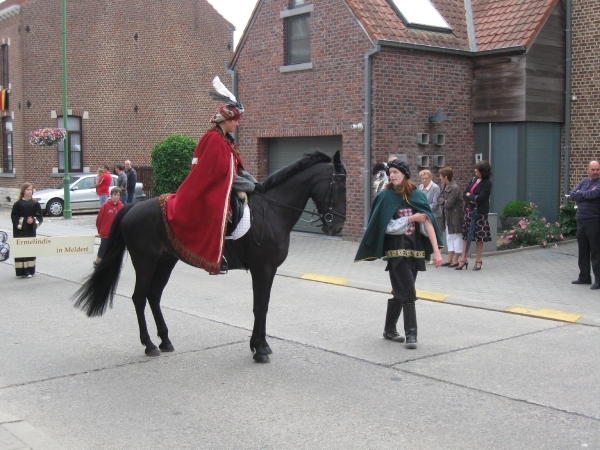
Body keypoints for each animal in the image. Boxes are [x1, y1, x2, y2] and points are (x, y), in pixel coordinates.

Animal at [74, 151, 346, 362]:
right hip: (145, 262)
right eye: (339, 186)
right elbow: (259, 306)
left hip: (166, 261)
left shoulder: (270, 270)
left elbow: (265, 305)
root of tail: (132, 208)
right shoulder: (261, 269)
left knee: (153, 296)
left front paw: (262, 345)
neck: (272, 211)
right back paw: (149, 344)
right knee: (139, 298)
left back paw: (165, 340)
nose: (336, 227)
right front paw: (259, 350)